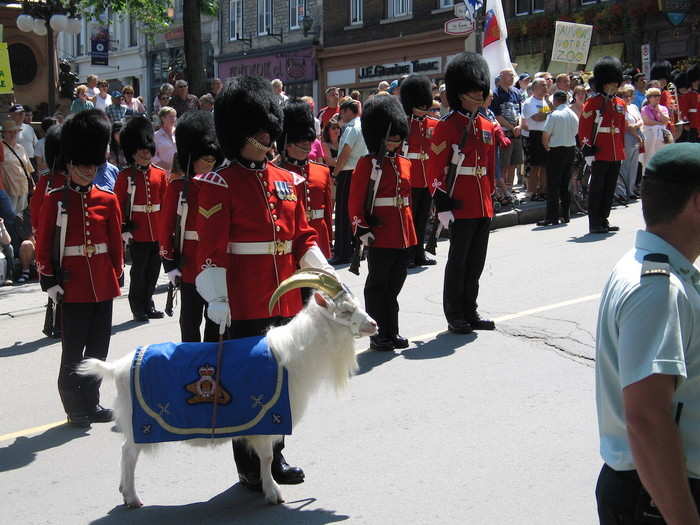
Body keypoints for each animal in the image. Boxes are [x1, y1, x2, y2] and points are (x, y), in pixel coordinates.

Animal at [78, 270, 378, 504]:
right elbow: (267, 456)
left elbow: (270, 455)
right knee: (128, 454)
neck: (290, 355)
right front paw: (273, 493)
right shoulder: (268, 417)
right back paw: (131, 497)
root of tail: (117, 367)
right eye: (345, 310)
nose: (373, 325)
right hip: (140, 424)